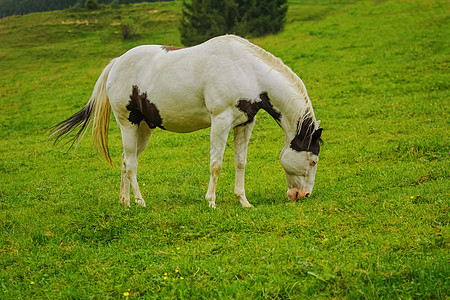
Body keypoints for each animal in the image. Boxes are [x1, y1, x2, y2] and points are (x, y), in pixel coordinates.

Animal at [51, 34, 322, 207]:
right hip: (127, 123)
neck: (246, 69)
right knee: (131, 164)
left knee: (126, 161)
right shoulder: (220, 120)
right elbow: (216, 164)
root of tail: (117, 62)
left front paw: (243, 201)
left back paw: (125, 202)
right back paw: (140, 201)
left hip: (142, 129)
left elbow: (241, 162)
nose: (303, 195)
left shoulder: (245, 123)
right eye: (313, 160)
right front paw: (211, 202)